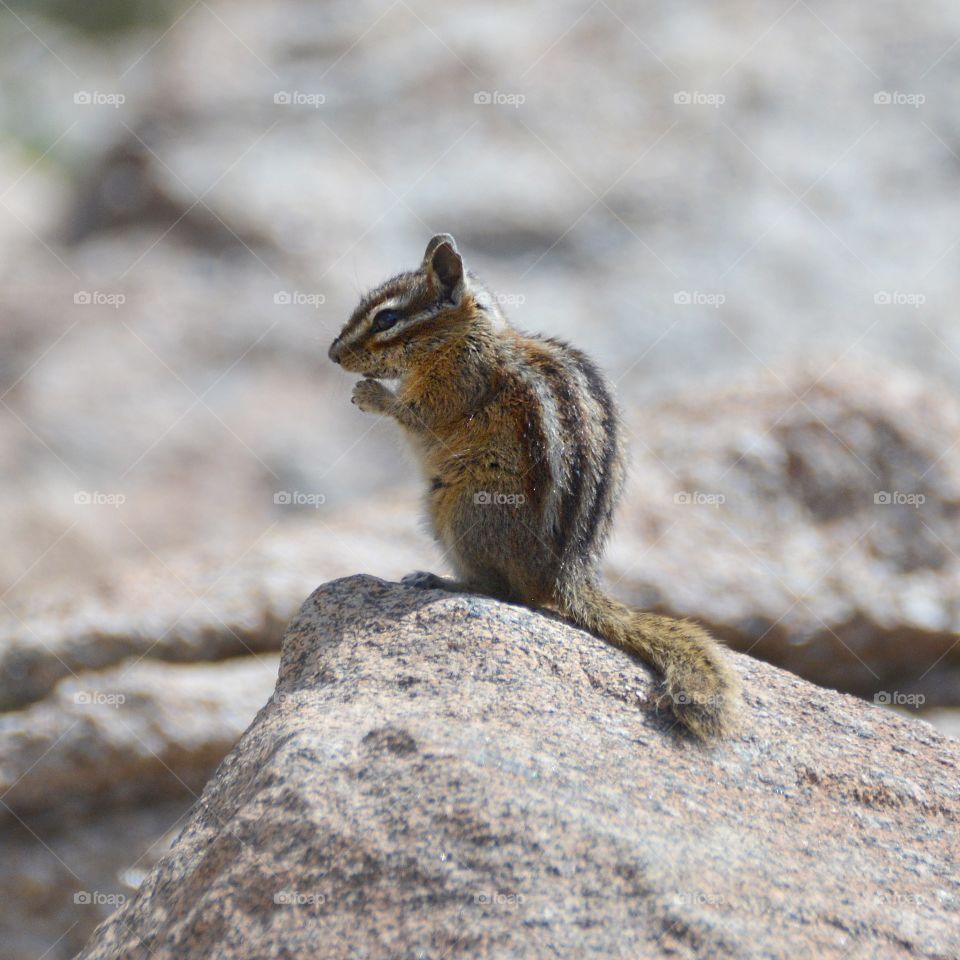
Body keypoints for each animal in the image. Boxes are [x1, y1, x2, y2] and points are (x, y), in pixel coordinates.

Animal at [328, 234, 739, 740]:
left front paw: (370, 395)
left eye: (386, 319)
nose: (333, 355)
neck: (465, 336)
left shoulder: (457, 383)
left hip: (460, 508)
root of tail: (565, 577)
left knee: (505, 593)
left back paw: (438, 579)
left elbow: (416, 417)